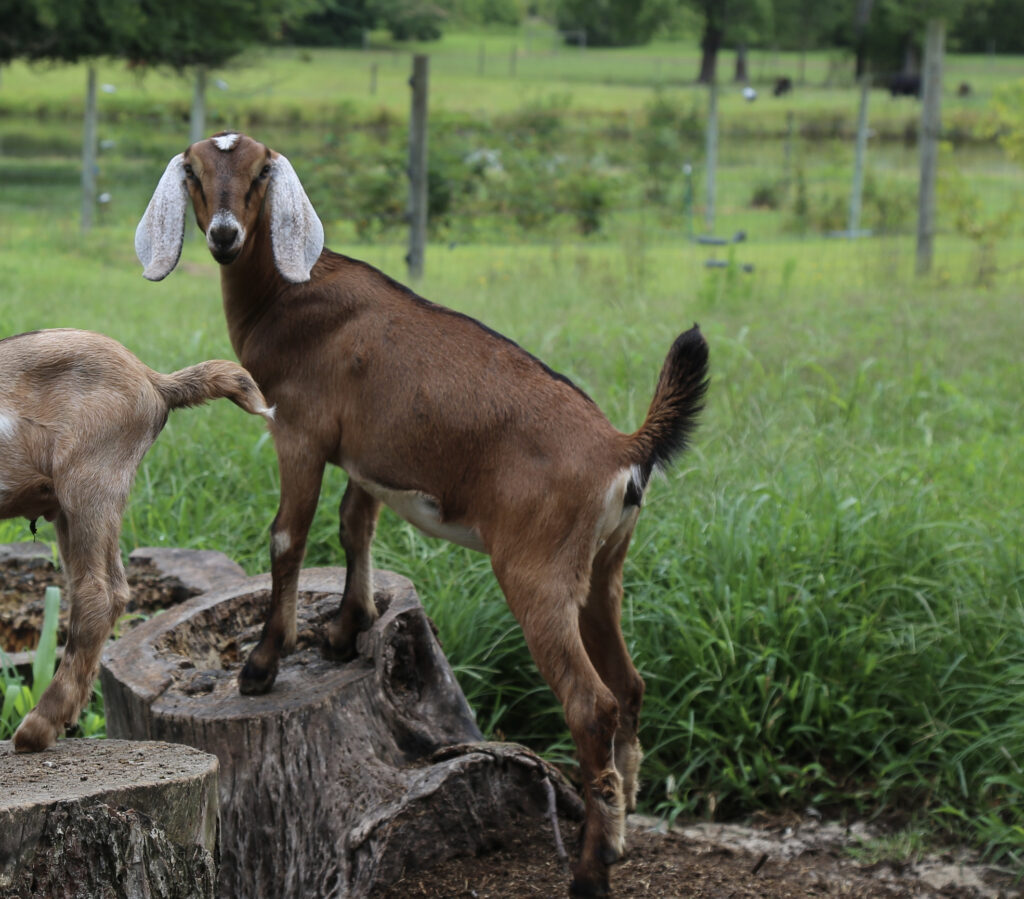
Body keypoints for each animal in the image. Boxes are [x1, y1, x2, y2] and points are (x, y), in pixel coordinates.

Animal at [136, 131, 709, 897]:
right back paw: (617, 837)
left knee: (593, 704)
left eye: (258, 174)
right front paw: (346, 629)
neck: (292, 294)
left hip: (537, 569)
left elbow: (288, 535)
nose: (225, 235)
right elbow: (355, 525)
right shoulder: (368, 456)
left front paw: (261, 664)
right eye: (196, 172)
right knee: (631, 685)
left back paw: (589, 873)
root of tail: (623, 448)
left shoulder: (300, 429)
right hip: (605, 568)